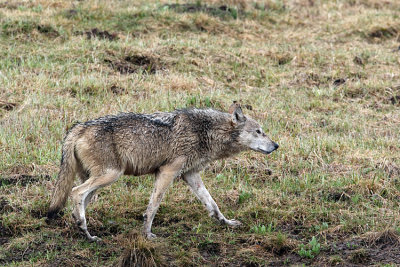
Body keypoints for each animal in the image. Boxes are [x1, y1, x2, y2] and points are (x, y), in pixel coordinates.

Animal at [47, 102, 278, 241]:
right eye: (259, 132)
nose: (276, 145)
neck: (206, 131)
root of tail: (78, 127)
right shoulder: (167, 171)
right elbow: (153, 206)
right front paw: (147, 234)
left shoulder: (190, 175)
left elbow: (213, 204)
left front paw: (227, 223)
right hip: (110, 175)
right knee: (76, 192)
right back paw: (85, 231)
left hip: (99, 180)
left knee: (79, 199)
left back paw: (83, 230)